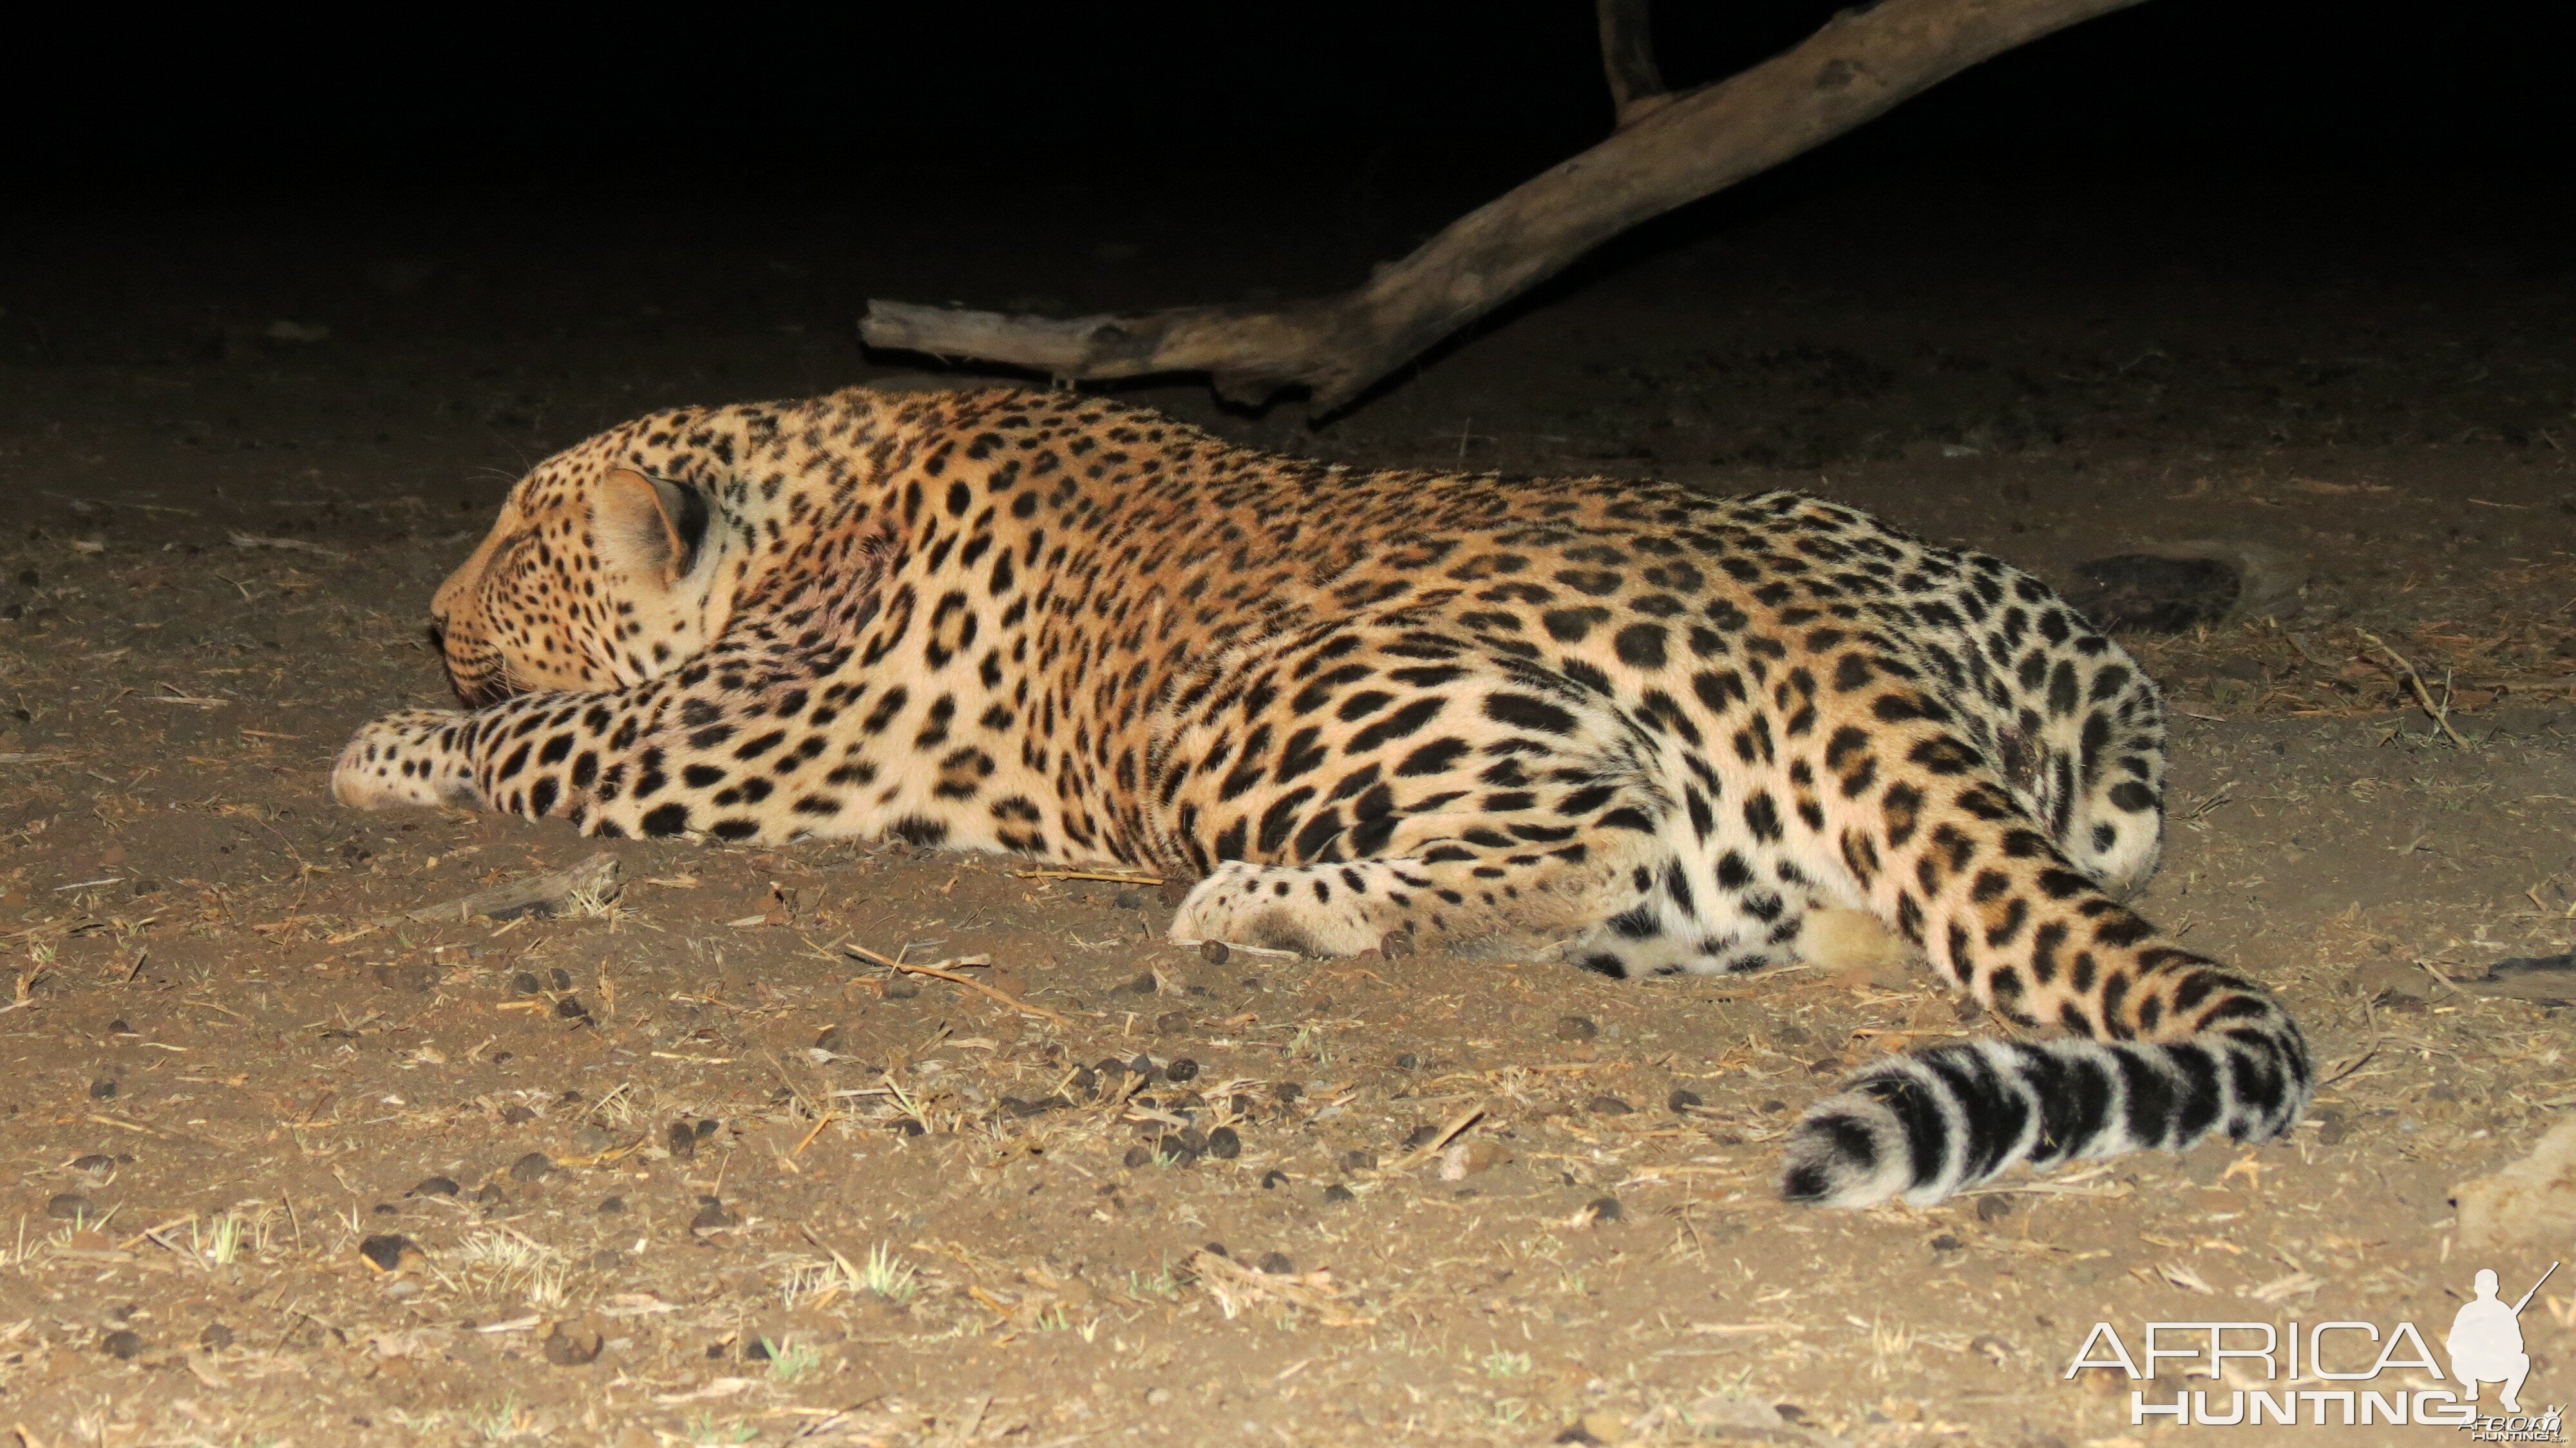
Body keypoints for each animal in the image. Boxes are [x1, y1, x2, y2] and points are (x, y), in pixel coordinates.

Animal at [337, 384, 2318, 1206]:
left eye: (512, 548)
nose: (428, 611)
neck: (800, 483)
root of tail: (1800, 613)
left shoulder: (740, 733)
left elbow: (535, 737)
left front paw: (384, 743)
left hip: (1231, 709)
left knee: (1590, 822)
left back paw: (1284, 905)